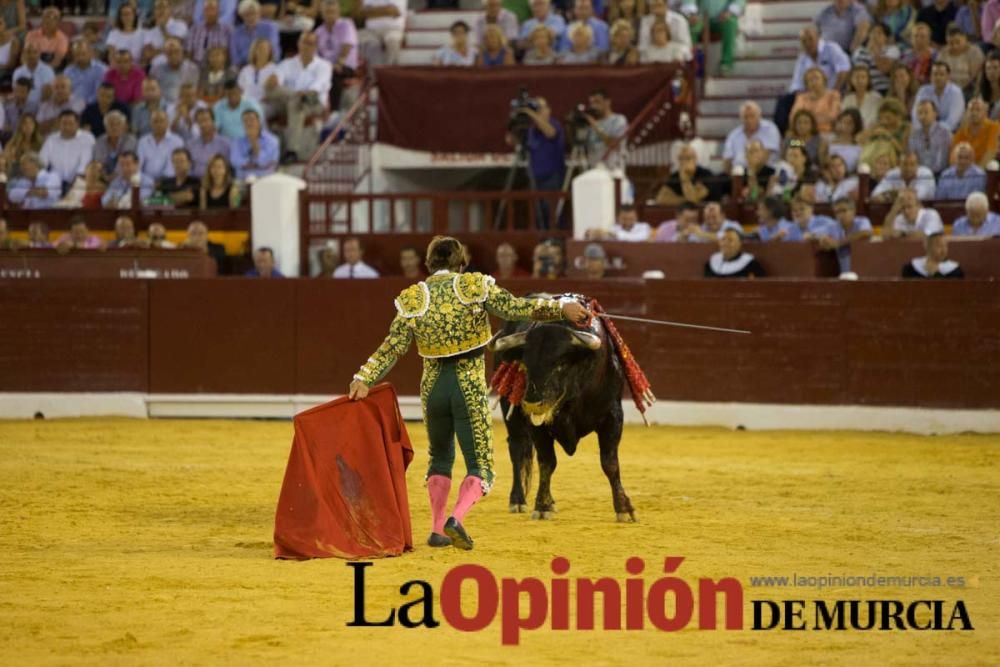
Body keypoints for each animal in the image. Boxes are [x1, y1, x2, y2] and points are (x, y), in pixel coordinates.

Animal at [494, 310, 640, 524]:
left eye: (561, 364)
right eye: (526, 364)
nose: (531, 403)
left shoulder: (613, 416)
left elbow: (610, 463)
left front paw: (624, 508)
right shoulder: (536, 425)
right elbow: (547, 463)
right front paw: (542, 506)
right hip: (509, 411)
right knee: (517, 448)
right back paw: (517, 500)